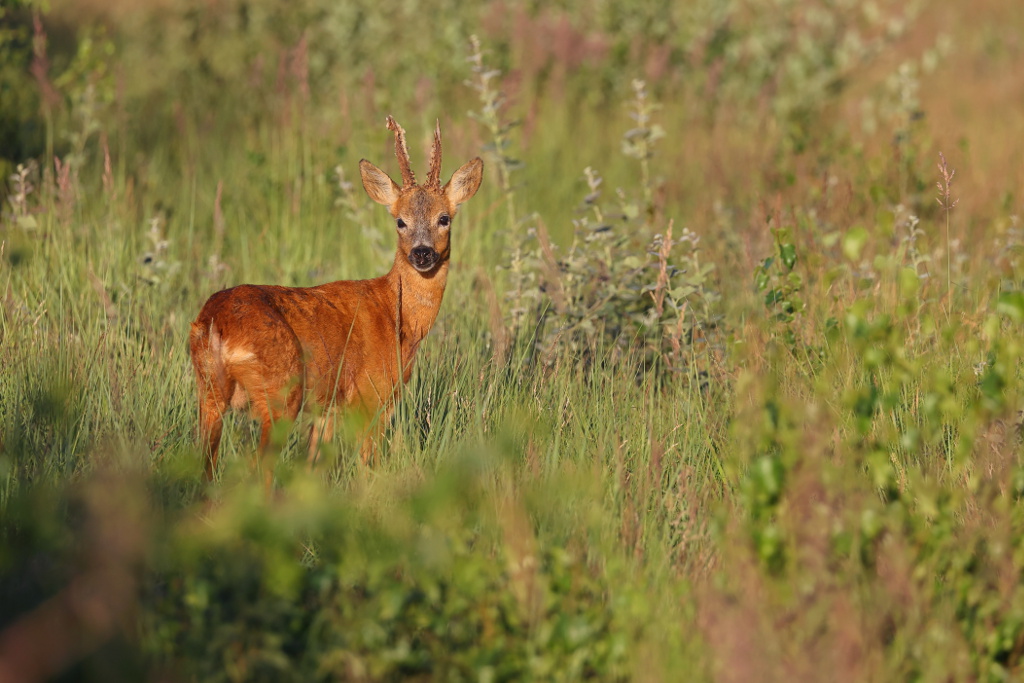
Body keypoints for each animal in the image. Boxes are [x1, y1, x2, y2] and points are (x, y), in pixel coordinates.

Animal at [189, 116, 483, 484]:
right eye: (400, 221)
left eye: (444, 218)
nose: (422, 253)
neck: (398, 317)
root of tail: (217, 323)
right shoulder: (371, 394)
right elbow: (368, 465)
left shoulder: (327, 406)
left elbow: (314, 465)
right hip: (281, 392)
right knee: (260, 468)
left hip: (208, 388)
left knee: (206, 464)